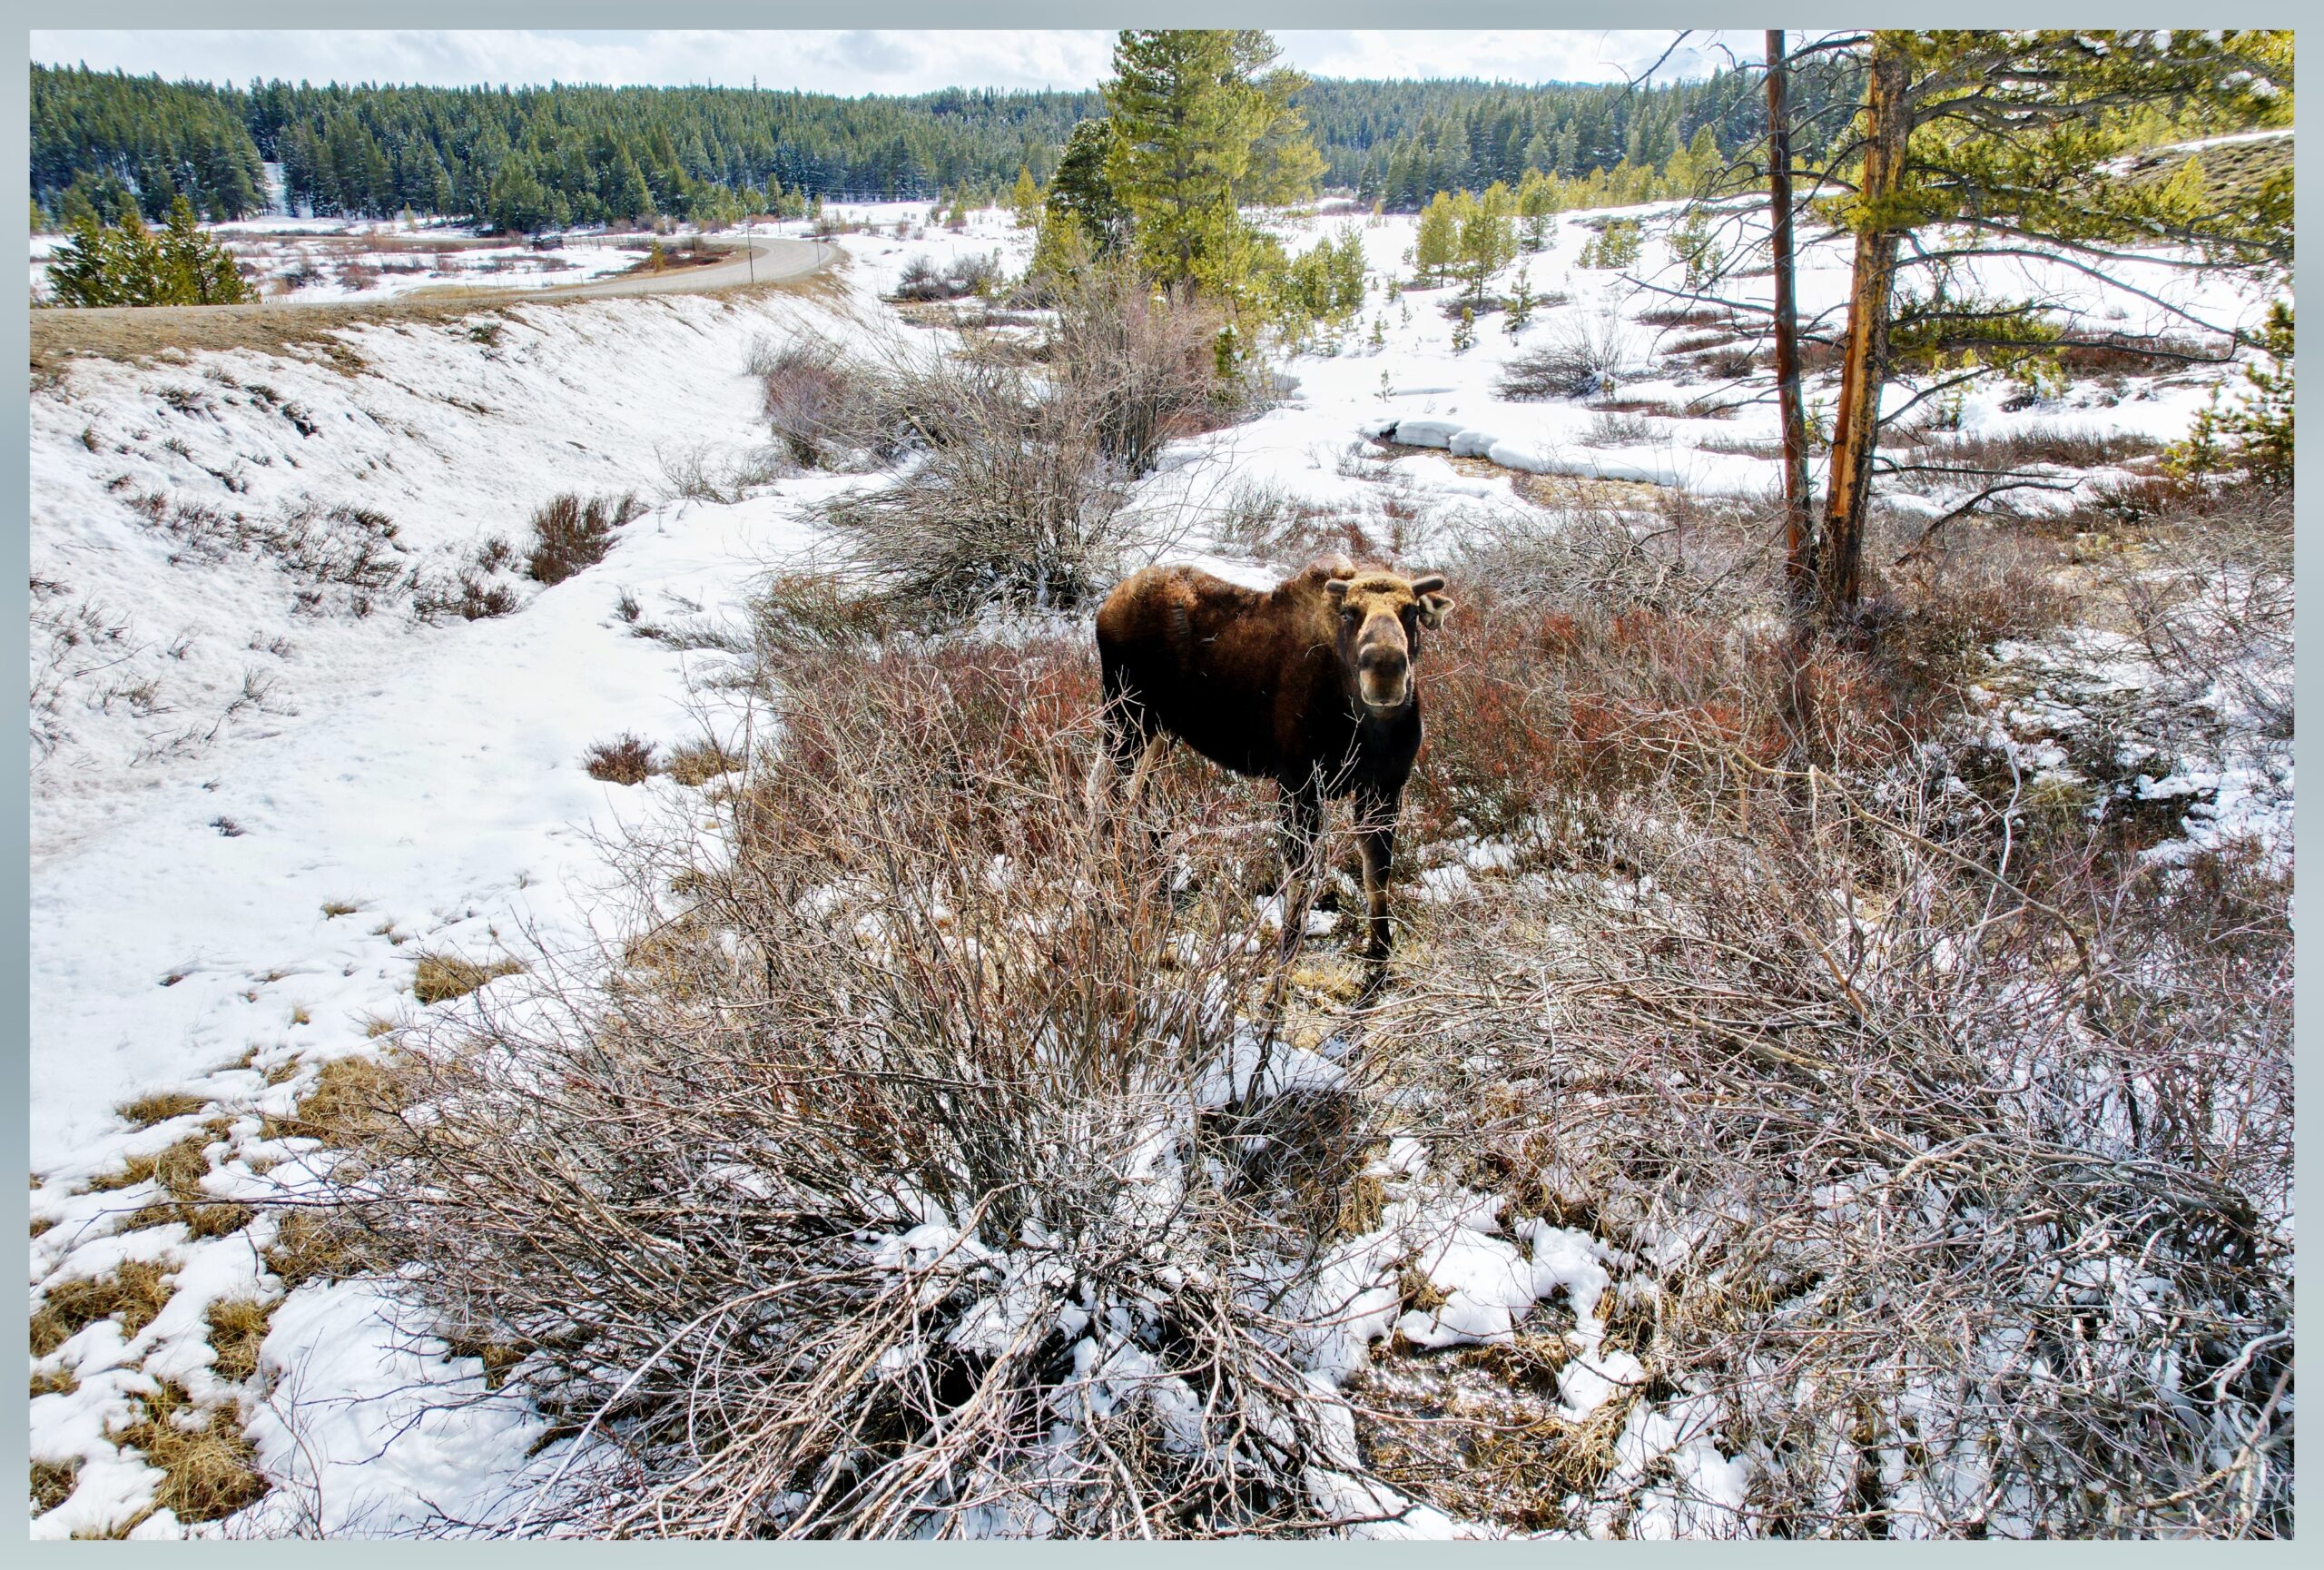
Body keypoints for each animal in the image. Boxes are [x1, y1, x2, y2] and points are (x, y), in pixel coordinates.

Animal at [1088, 558, 1450, 991]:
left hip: (1162, 731)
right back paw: (1107, 887)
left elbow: (1377, 872)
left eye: (1410, 611)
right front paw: (1280, 974)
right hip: (1125, 717)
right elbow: (1299, 880)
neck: (1369, 727)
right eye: (1349, 613)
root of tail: (1105, 608)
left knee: (1138, 792)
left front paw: (1379, 954)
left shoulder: (1386, 786)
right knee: (1102, 791)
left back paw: (1154, 877)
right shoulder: (1298, 785)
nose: (1384, 670)